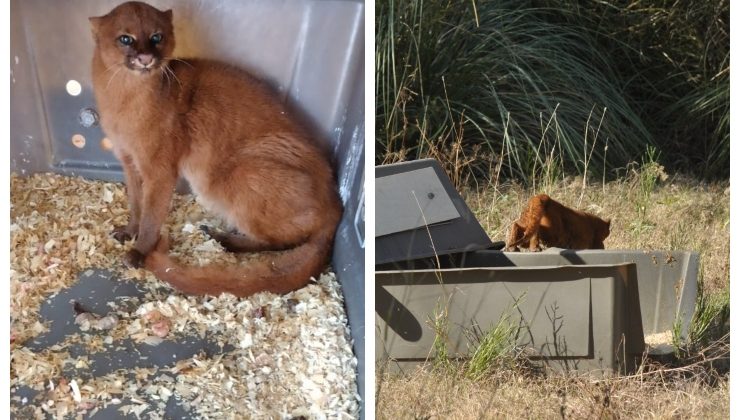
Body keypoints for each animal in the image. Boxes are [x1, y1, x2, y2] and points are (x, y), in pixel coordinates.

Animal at [89, 0, 342, 296]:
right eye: (125, 39)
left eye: (156, 37)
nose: (145, 58)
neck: (123, 98)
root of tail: (337, 205)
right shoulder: (129, 163)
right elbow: (136, 205)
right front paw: (129, 232)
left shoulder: (160, 171)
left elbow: (151, 217)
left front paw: (139, 252)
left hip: (238, 175)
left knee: (283, 241)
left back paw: (225, 240)